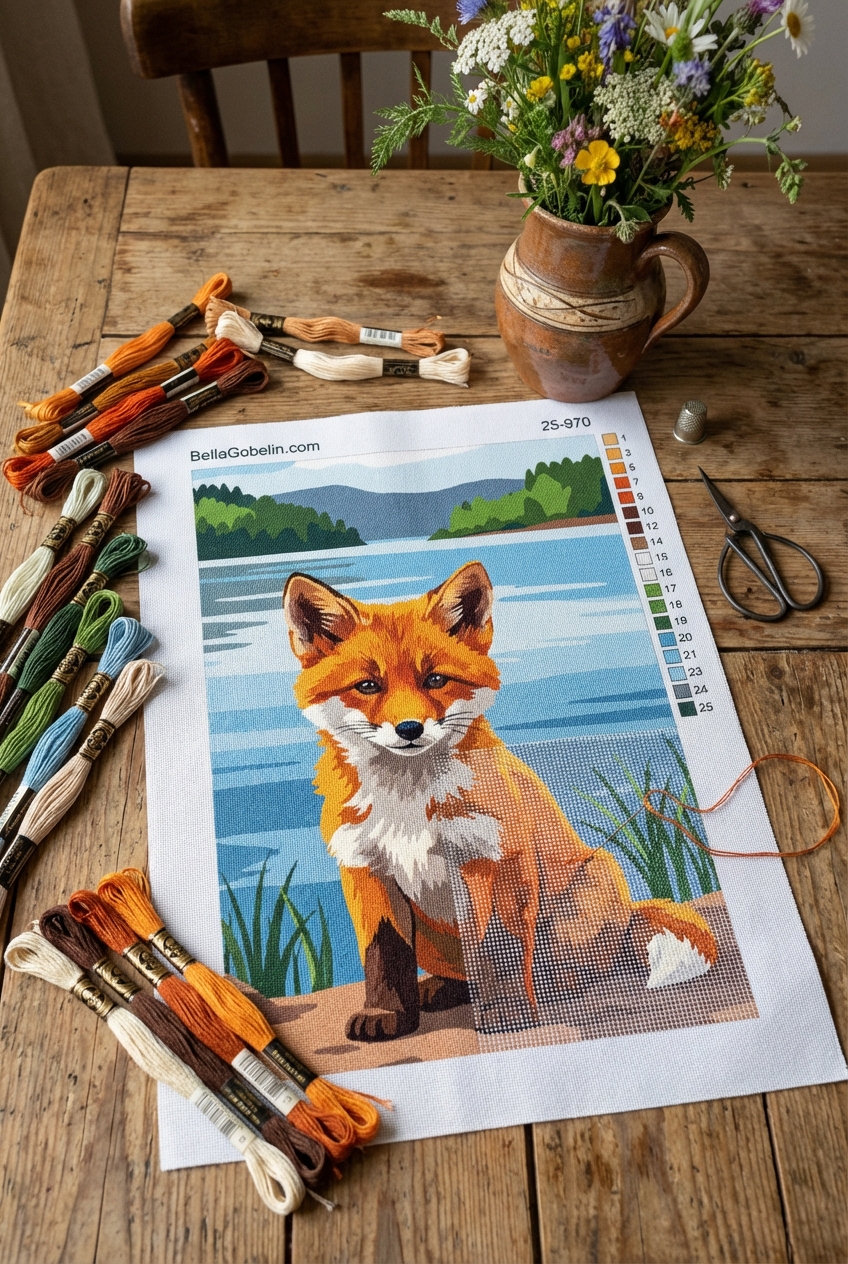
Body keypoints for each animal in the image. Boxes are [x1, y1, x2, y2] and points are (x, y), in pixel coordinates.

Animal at [283, 560, 718, 1042]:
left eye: (435, 679)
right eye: (367, 685)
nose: (410, 729)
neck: (410, 804)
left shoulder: (494, 859)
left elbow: (499, 945)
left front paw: (509, 1012)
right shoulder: (367, 868)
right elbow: (385, 956)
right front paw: (385, 1013)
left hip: (589, 884)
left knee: (587, 964)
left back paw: (546, 986)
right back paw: (448, 989)